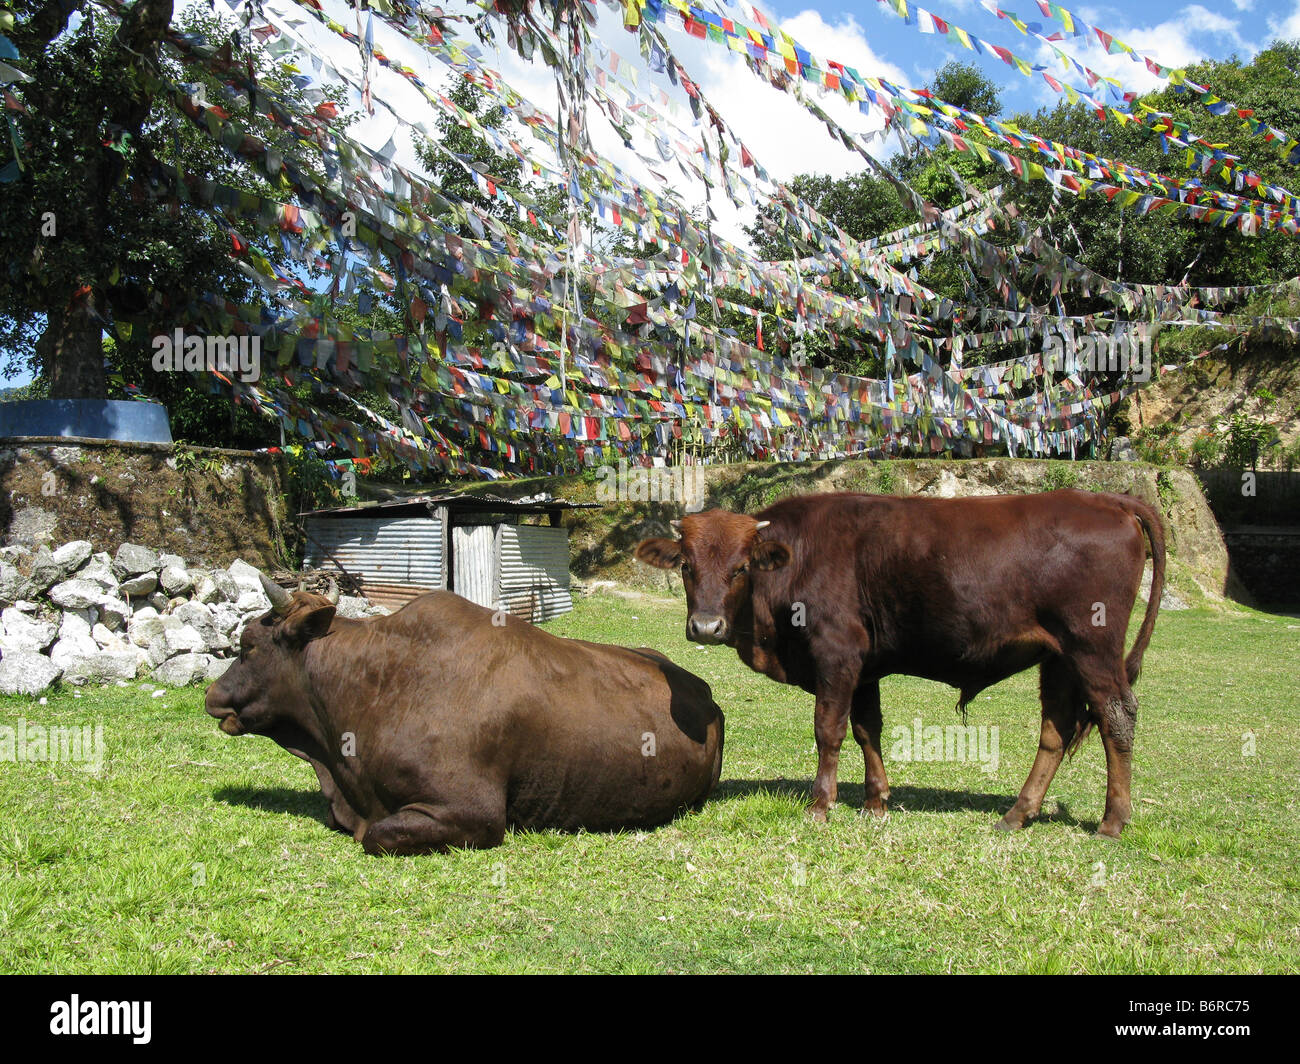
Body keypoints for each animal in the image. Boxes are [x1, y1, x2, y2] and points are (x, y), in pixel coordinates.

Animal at [636, 489, 1165, 838]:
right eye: (686, 566)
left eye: (741, 567)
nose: (706, 627)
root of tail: (1107, 499)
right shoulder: (865, 667)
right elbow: (867, 729)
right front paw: (876, 802)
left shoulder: (837, 652)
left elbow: (829, 730)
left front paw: (820, 804)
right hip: (1058, 658)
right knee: (1055, 729)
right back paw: (1019, 813)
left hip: (1093, 647)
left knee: (1118, 716)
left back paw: (1112, 820)